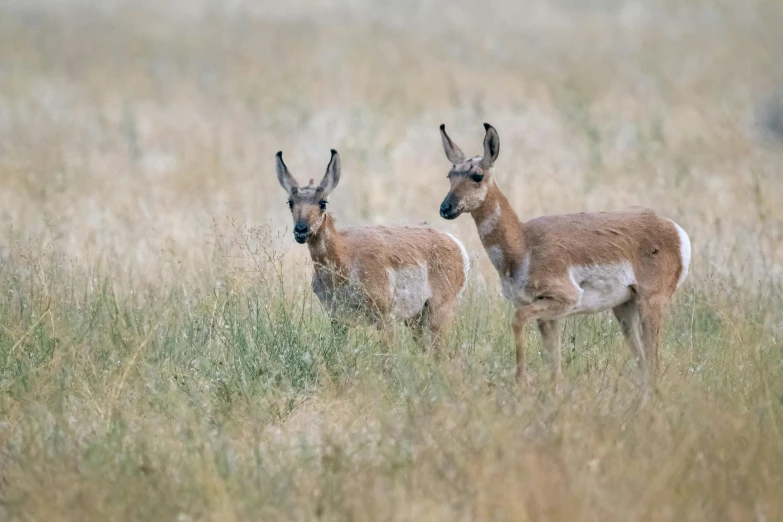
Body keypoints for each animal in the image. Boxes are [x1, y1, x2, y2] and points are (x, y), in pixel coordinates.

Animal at [278, 146, 468, 350]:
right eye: (290, 202)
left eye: (323, 202)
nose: (301, 230)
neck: (346, 256)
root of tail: (453, 242)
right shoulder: (338, 320)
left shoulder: (385, 320)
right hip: (415, 320)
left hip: (436, 316)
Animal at [440, 124, 692, 388]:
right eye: (450, 175)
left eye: (477, 176)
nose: (445, 208)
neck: (524, 242)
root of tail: (671, 226)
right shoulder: (546, 315)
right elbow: (555, 366)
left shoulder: (563, 300)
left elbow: (517, 320)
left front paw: (521, 380)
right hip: (624, 308)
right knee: (642, 363)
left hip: (650, 303)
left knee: (652, 365)